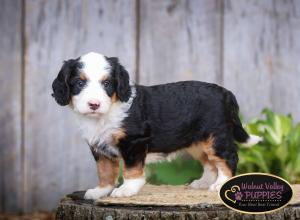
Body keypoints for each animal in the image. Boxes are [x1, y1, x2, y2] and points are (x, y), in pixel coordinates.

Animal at [51, 52, 260, 200]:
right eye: (79, 83)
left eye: (107, 83)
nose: (94, 104)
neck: (107, 113)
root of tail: (226, 93)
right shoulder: (100, 148)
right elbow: (105, 171)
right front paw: (100, 191)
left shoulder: (133, 141)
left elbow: (131, 169)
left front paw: (127, 189)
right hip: (197, 142)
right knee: (210, 163)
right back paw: (203, 183)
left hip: (216, 136)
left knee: (227, 158)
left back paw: (219, 185)